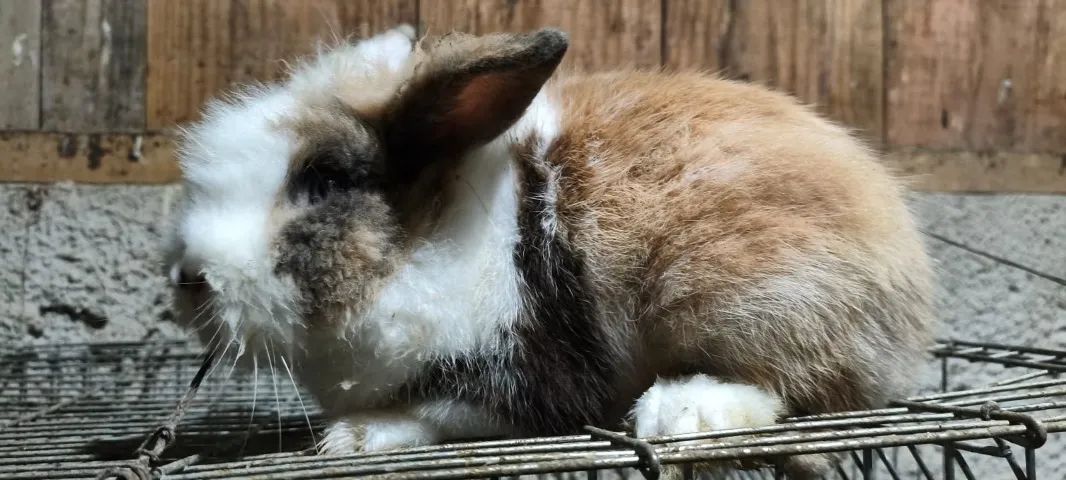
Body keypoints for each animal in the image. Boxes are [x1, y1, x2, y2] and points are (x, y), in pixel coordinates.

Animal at [166, 25, 934, 477]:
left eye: (323, 179)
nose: (186, 280)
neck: (429, 245)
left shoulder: (524, 375)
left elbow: (437, 414)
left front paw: (352, 438)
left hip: (741, 299)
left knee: (800, 390)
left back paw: (682, 411)